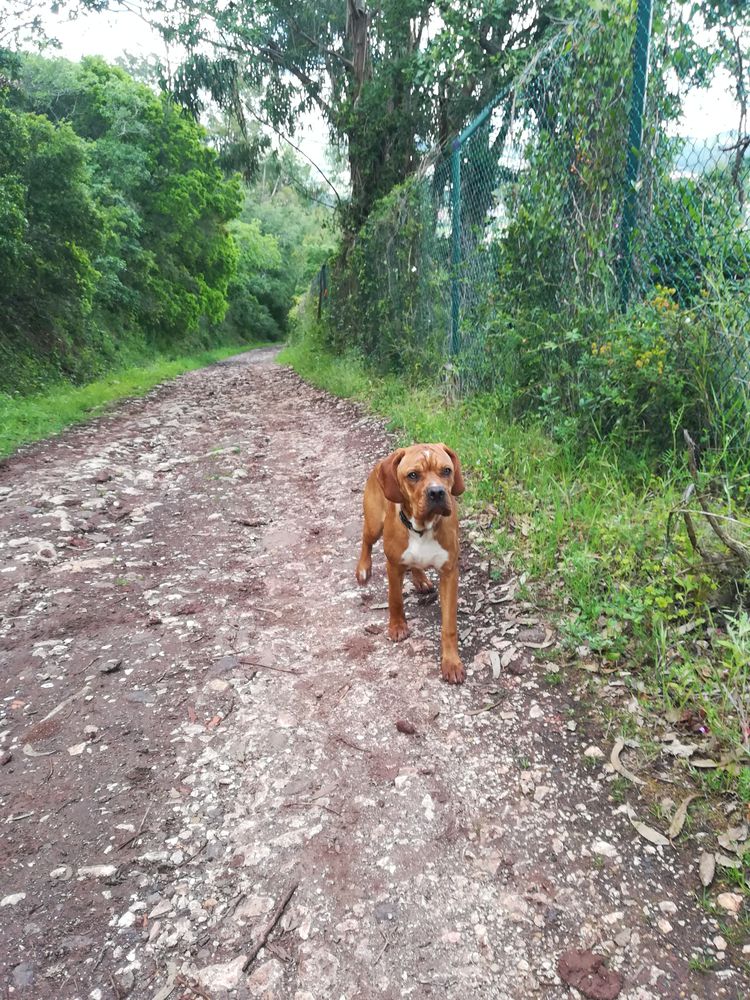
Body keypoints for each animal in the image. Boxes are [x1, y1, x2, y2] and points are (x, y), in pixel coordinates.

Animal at [356, 444, 468, 684]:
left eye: (446, 470)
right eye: (413, 475)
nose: (437, 492)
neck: (422, 528)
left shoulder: (449, 573)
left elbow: (449, 626)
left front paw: (451, 662)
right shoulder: (393, 565)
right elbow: (395, 599)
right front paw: (397, 626)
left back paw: (421, 579)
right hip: (374, 524)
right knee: (365, 540)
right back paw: (363, 568)